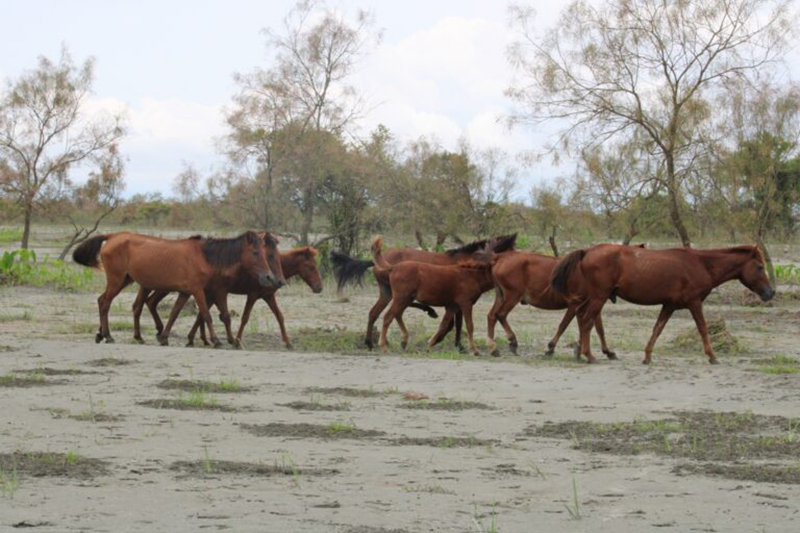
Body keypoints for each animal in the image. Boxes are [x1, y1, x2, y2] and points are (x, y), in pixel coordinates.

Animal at [72, 232, 282, 348]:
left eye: (266, 254)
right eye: (256, 252)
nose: (269, 278)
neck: (204, 256)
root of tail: (112, 236)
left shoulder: (186, 292)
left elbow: (174, 314)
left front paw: (164, 337)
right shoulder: (198, 291)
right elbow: (207, 315)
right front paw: (216, 340)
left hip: (126, 280)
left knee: (105, 301)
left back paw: (105, 335)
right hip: (117, 281)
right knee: (105, 303)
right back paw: (108, 336)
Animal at [332, 233, 520, 350]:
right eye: (511, 253)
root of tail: (377, 261)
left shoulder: (456, 302)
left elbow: (456, 323)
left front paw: (458, 345)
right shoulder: (458, 301)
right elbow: (456, 323)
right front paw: (453, 344)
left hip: (387, 293)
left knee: (375, 313)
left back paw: (370, 343)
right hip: (397, 294)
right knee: (394, 311)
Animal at [484, 248, 628, 360]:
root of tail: (500, 257)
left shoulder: (593, 305)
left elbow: (599, 328)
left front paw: (608, 351)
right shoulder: (575, 304)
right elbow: (564, 325)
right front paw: (551, 348)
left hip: (501, 296)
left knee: (491, 316)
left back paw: (493, 348)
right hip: (512, 296)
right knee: (500, 315)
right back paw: (512, 342)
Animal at [552, 243, 772, 364]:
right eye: (760, 267)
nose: (771, 292)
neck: (702, 264)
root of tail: (587, 250)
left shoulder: (669, 306)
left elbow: (657, 329)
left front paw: (647, 356)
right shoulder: (694, 303)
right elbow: (703, 328)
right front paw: (712, 356)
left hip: (594, 297)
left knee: (581, 317)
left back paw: (579, 352)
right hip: (599, 297)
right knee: (587, 321)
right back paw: (589, 355)